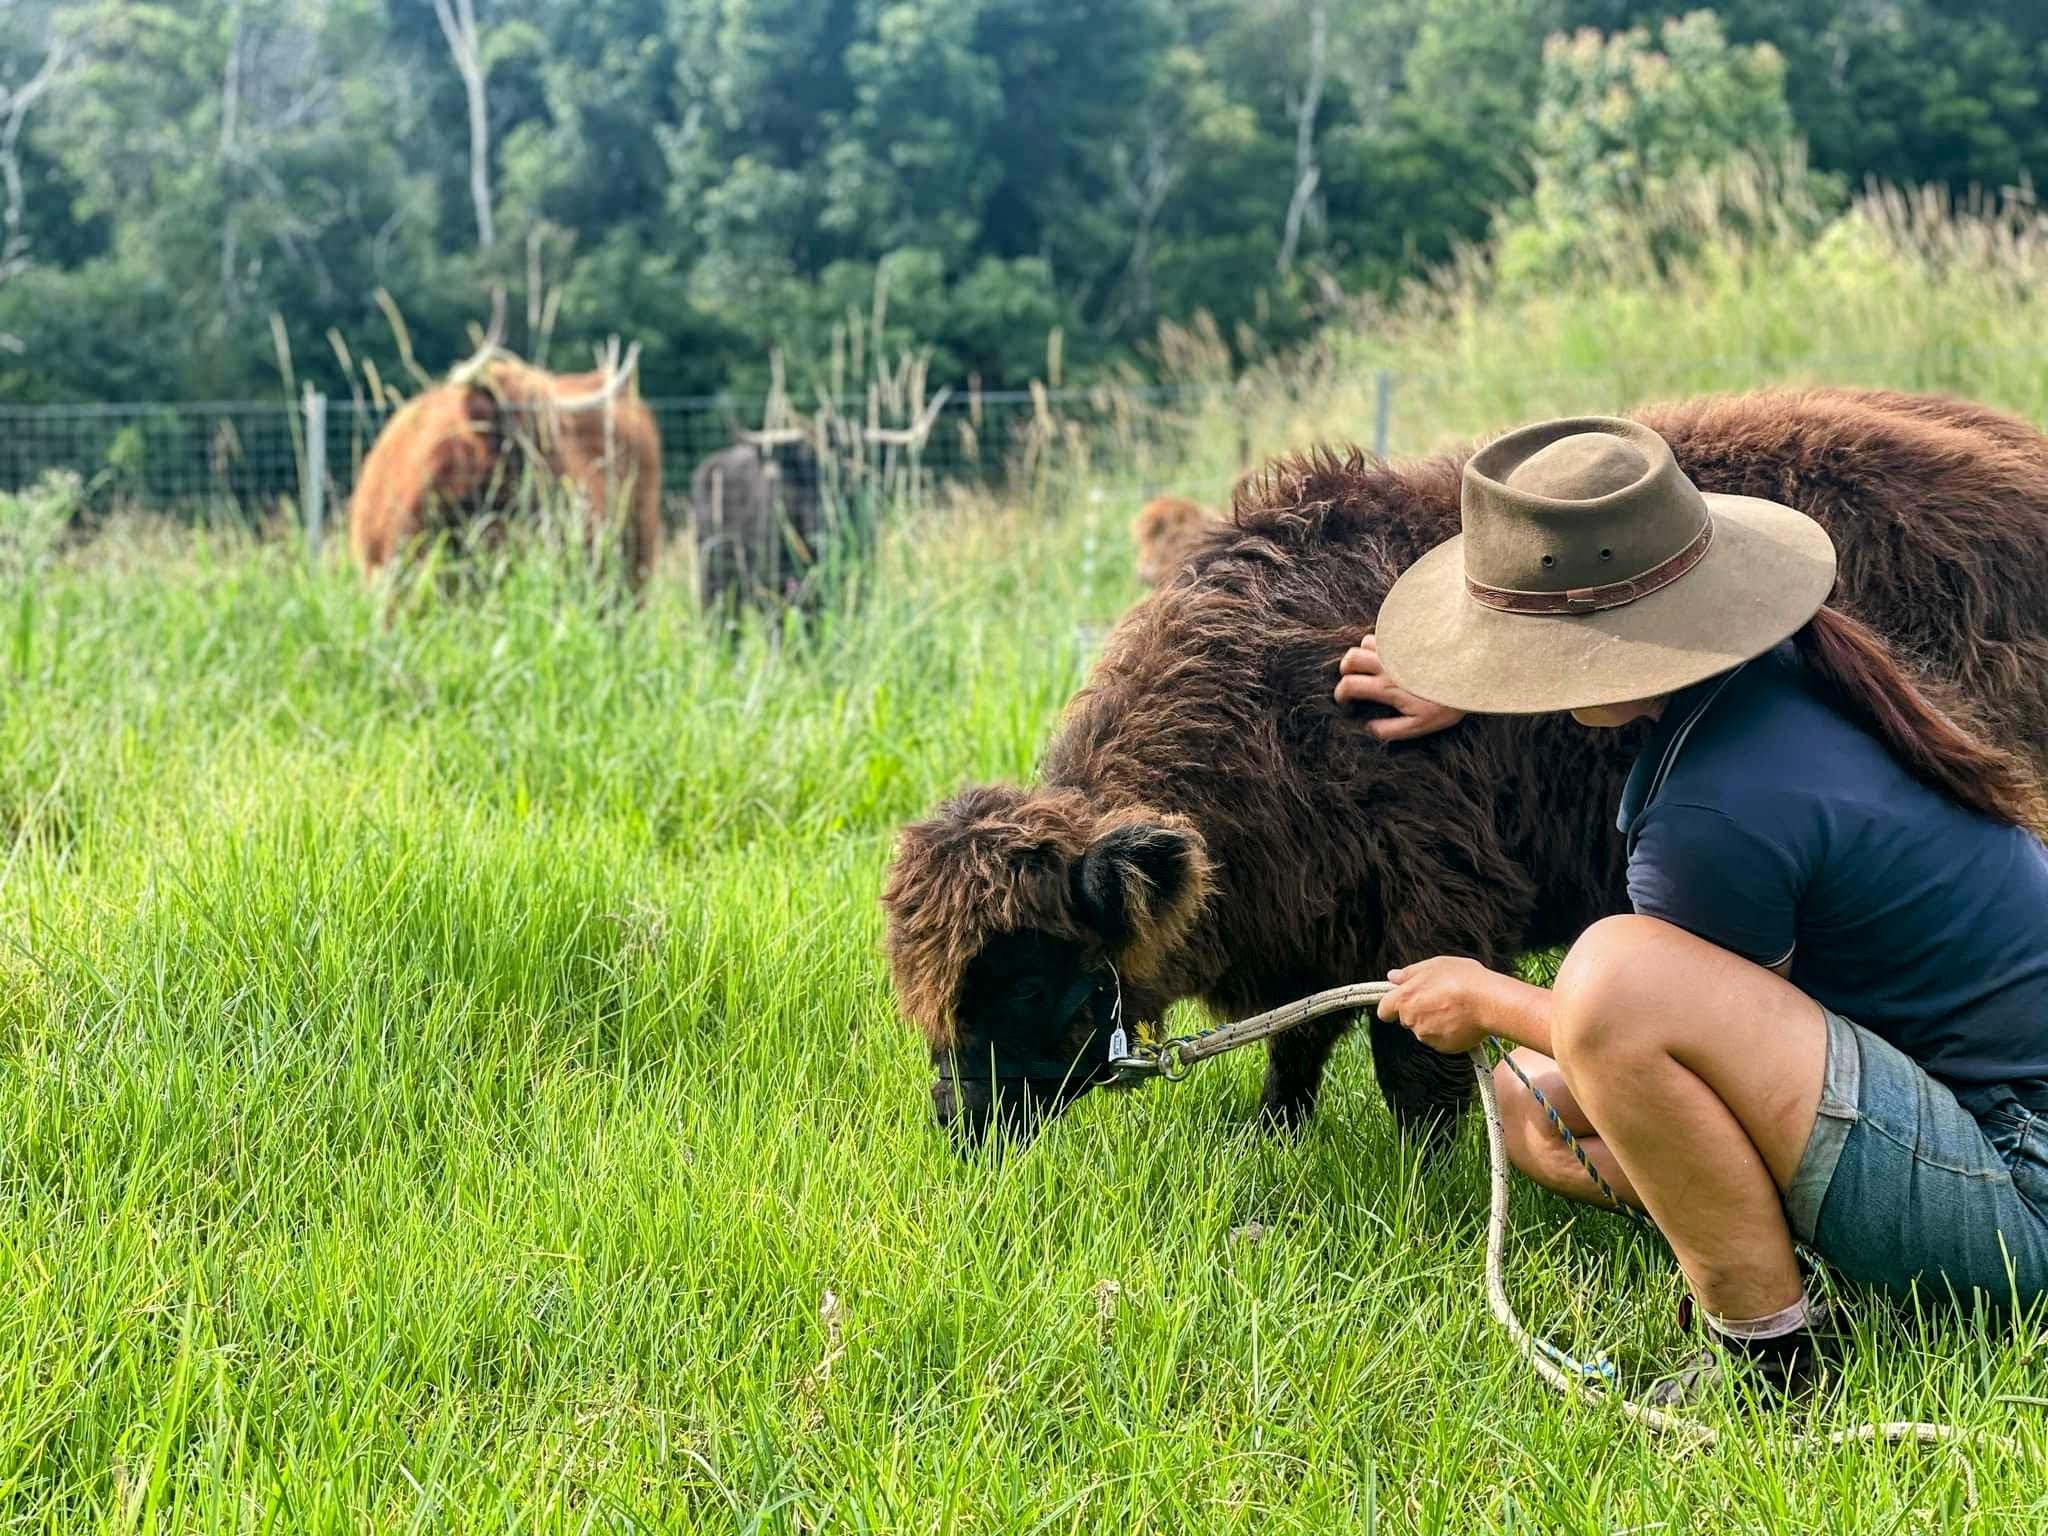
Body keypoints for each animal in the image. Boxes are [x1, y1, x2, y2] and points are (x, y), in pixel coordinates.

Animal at [884, 391, 2048, 1146]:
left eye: (1026, 973)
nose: (956, 1123)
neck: (1269, 705)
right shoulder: (1315, 923)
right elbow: (1299, 1044)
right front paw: (1271, 1133)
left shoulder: (1427, 907)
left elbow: (1409, 1065)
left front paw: (1422, 1181)